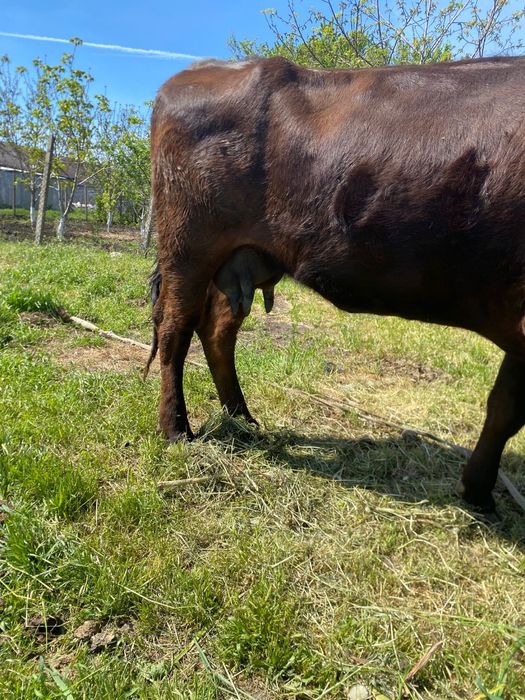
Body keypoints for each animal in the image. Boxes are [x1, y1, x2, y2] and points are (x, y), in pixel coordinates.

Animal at [149, 55, 525, 513]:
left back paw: (243, 419)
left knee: (217, 332)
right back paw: (177, 430)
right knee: (175, 331)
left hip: (240, 259)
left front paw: (477, 490)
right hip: (187, 249)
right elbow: (509, 410)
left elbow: (504, 407)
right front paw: (479, 490)